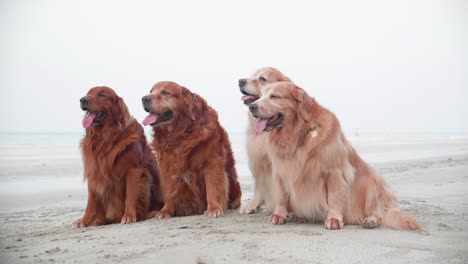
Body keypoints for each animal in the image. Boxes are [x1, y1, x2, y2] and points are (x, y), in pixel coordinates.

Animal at [72, 85, 163, 228]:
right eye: (88, 93)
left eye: (102, 95)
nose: (83, 100)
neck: (106, 138)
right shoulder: (94, 171)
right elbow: (91, 201)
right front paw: (84, 221)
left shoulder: (134, 170)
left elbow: (130, 195)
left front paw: (128, 216)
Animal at [238, 67, 292, 213]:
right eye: (251, 76)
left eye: (262, 78)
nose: (240, 81)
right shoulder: (257, 160)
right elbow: (259, 187)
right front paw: (252, 205)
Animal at [250, 81, 422, 230]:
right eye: (260, 95)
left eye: (274, 96)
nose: (251, 106)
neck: (297, 134)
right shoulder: (280, 171)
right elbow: (281, 196)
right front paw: (279, 215)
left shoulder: (334, 172)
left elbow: (334, 197)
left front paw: (334, 219)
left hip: (373, 183)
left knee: (379, 212)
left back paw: (370, 220)